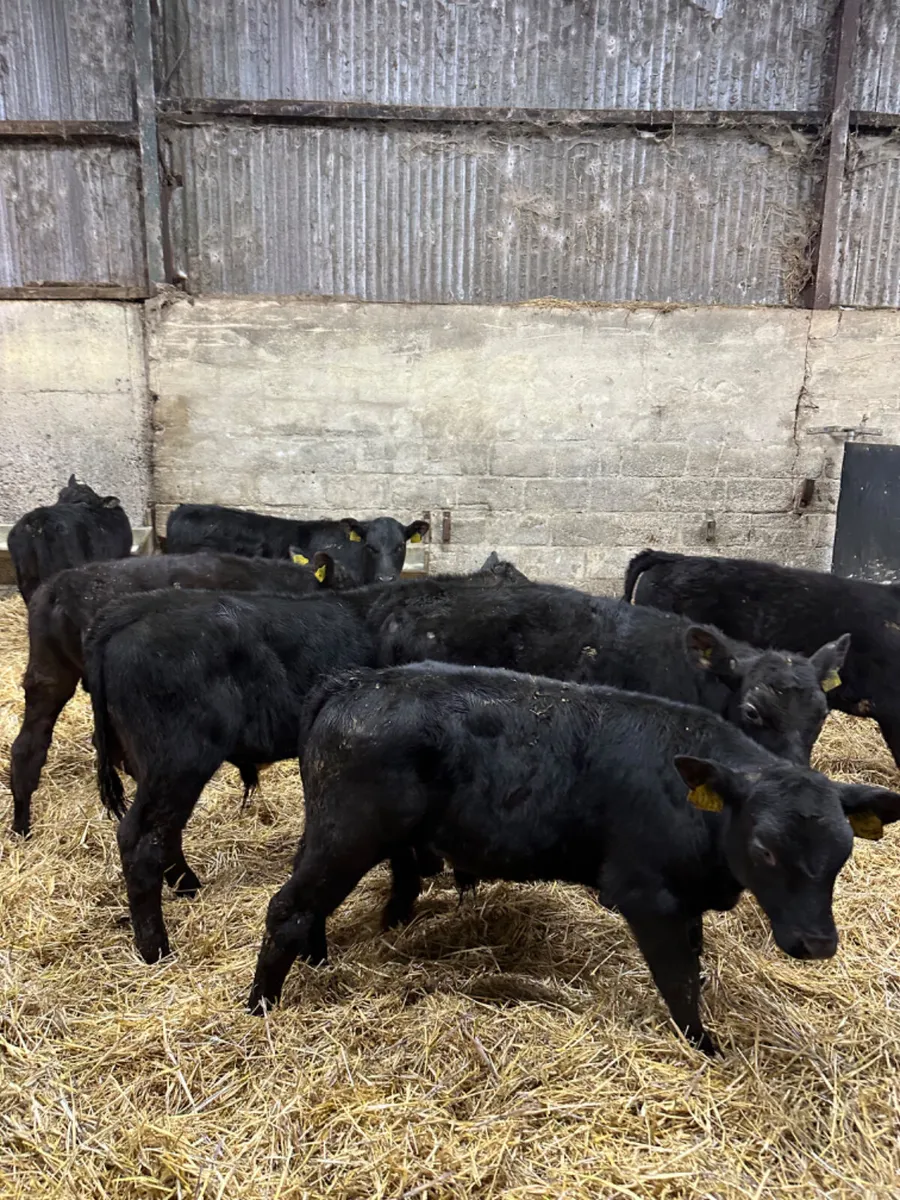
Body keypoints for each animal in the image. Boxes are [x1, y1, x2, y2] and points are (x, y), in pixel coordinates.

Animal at [248, 663, 900, 1053]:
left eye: (843, 854)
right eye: (764, 848)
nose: (817, 943)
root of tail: (356, 682)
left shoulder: (685, 899)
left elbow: (694, 966)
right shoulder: (648, 895)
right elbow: (679, 979)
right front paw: (704, 1046)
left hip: (332, 833)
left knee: (310, 906)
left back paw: (318, 965)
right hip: (349, 833)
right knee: (287, 908)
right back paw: (260, 1007)